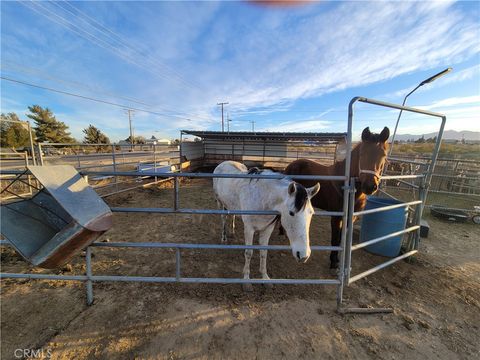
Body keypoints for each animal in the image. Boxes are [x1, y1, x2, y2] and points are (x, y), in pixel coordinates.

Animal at [213, 160, 318, 290]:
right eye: (291, 213)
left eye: (311, 212)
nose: (303, 255)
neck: (263, 198)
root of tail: (224, 163)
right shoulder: (249, 229)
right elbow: (249, 253)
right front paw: (246, 281)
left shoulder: (267, 229)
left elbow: (264, 253)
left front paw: (265, 278)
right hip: (220, 202)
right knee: (223, 218)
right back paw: (224, 238)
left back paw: (232, 232)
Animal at [284, 126, 390, 270]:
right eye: (362, 154)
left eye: (383, 155)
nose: (369, 186)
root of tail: (291, 164)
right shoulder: (336, 216)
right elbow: (335, 239)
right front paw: (333, 262)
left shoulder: (352, 217)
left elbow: (341, 239)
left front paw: (338, 260)